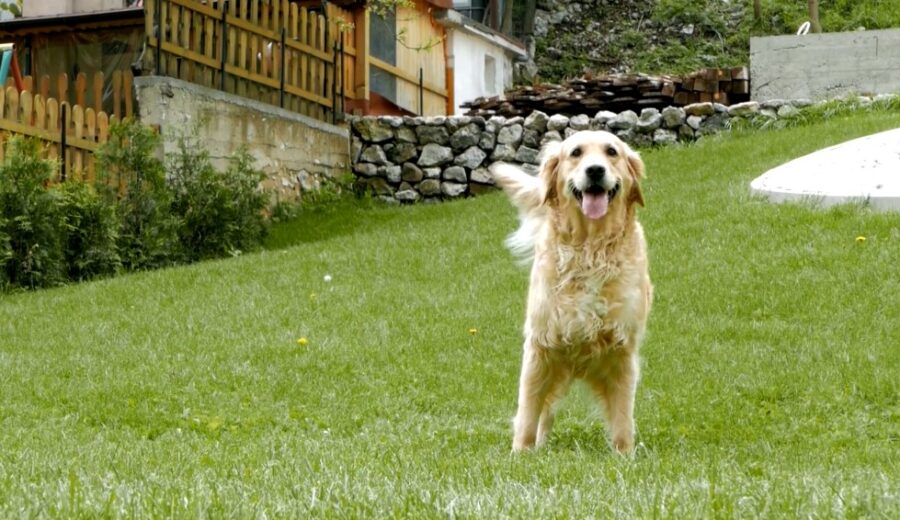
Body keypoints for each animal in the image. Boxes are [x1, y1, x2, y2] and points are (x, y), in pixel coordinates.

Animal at [492, 131, 652, 456]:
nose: (595, 170)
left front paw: (625, 457)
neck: (590, 249)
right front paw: (520, 455)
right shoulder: (540, 348)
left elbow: (622, 417)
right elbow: (527, 412)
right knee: (543, 412)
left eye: (612, 152)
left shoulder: (622, 351)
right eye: (576, 153)